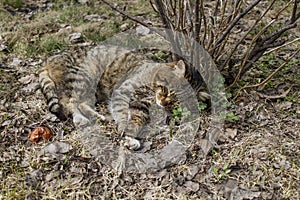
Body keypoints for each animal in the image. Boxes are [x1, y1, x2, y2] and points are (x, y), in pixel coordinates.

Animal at [38, 44, 186, 149]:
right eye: (167, 90)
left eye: (174, 102)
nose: (164, 102)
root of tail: (48, 60)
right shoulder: (123, 92)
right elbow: (123, 116)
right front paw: (125, 133)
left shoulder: (140, 105)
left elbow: (137, 119)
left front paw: (130, 137)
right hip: (82, 78)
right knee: (69, 102)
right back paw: (80, 118)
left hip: (91, 90)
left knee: (81, 103)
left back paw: (98, 116)